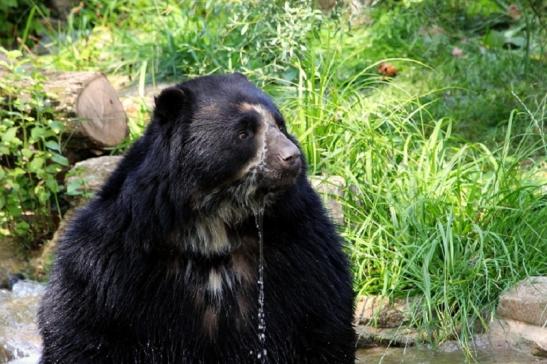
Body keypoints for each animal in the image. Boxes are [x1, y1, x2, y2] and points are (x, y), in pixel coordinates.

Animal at [37, 74, 356, 364]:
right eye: (244, 133)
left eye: (280, 125)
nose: (292, 157)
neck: (213, 218)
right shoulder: (116, 257)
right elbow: (87, 325)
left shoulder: (297, 242)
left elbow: (317, 316)